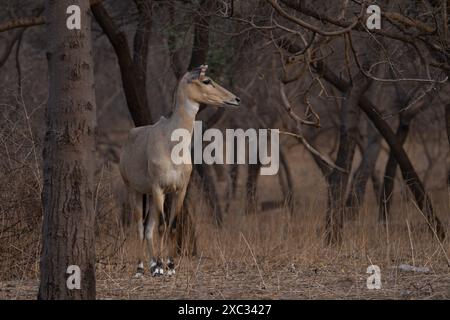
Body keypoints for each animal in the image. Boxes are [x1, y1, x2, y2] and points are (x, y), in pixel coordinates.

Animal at [118, 65, 241, 278]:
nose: (235, 99)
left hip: (151, 196)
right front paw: (161, 266)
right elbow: (162, 226)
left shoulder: (179, 190)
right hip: (135, 191)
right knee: (141, 226)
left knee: (148, 227)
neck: (171, 141)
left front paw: (170, 266)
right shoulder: (159, 188)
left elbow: (173, 225)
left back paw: (152, 265)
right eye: (206, 80)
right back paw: (141, 268)